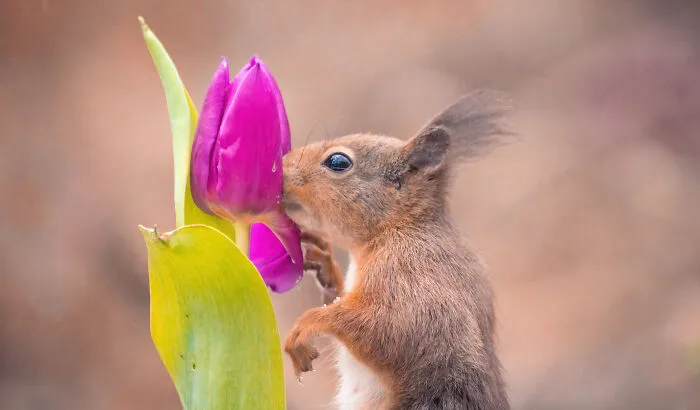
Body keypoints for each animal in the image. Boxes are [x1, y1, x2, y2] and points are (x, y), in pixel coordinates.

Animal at [281, 90, 513, 410]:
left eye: (338, 162)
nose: (281, 166)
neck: (398, 228)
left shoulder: (413, 275)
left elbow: (391, 329)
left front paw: (308, 323)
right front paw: (323, 261)